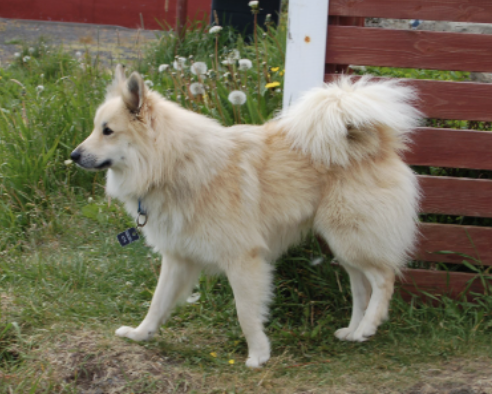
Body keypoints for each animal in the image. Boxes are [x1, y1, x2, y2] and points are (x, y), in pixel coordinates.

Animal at [71, 65, 420, 370]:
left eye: (108, 131)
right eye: (95, 128)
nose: (73, 155)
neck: (174, 164)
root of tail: (374, 141)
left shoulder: (242, 259)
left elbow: (246, 313)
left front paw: (258, 355)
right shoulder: (178, 258)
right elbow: (157, 303)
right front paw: (140, 334)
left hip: (350, 237)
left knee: (383, 278)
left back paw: (369, 326)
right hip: (343, 243)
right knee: (361, 286)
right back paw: (353, 330)